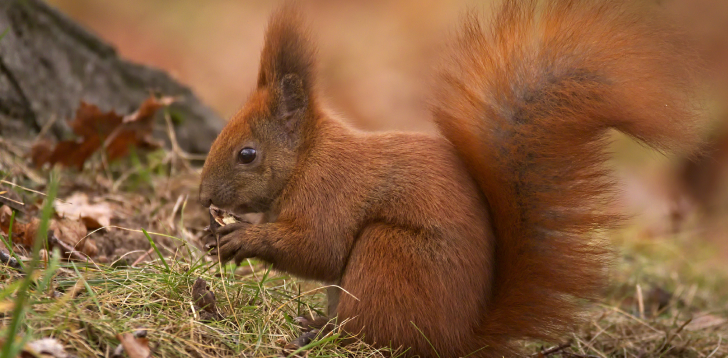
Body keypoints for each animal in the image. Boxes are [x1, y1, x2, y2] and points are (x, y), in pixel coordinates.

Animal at [196, 0, 704, 356]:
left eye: (247, 154)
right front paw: (211, 236)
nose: (202, 197)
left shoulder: (331, 191)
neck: (306, 159)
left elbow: (319, 249)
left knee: (373, 336)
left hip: (388, 256)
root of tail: (459, 340)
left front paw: (242, 238)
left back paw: (323, 333)